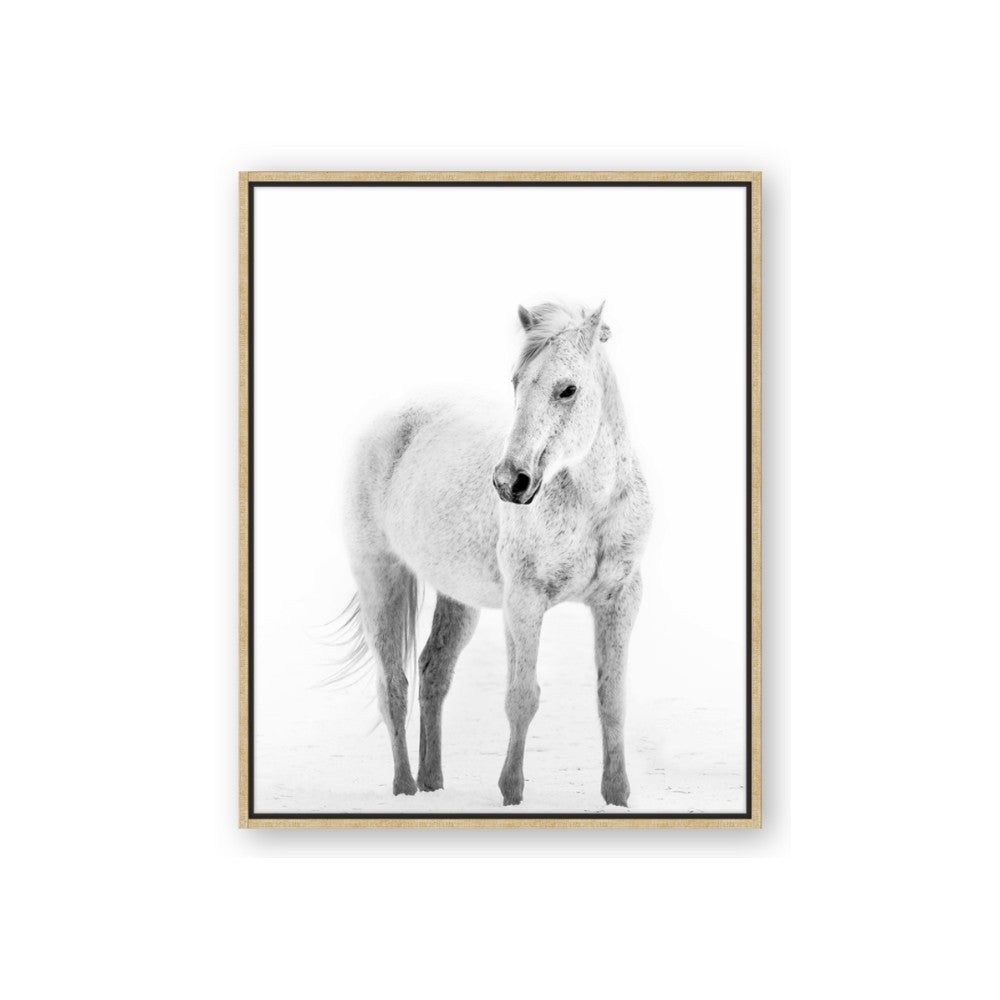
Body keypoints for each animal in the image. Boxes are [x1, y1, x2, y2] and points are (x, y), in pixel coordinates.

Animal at [339, 301, 652, 807]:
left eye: (568, 389)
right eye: (516, 382)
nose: (510, 482)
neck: (592, 504)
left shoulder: (621, 599)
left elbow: (612, 699)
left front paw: (617, 796)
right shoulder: (524, 603)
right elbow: (522, 697)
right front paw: (511, 792)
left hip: (456, 598)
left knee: (433, 672)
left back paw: (432, 782)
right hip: (379, 578)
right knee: (393, 686)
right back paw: (405, 788)